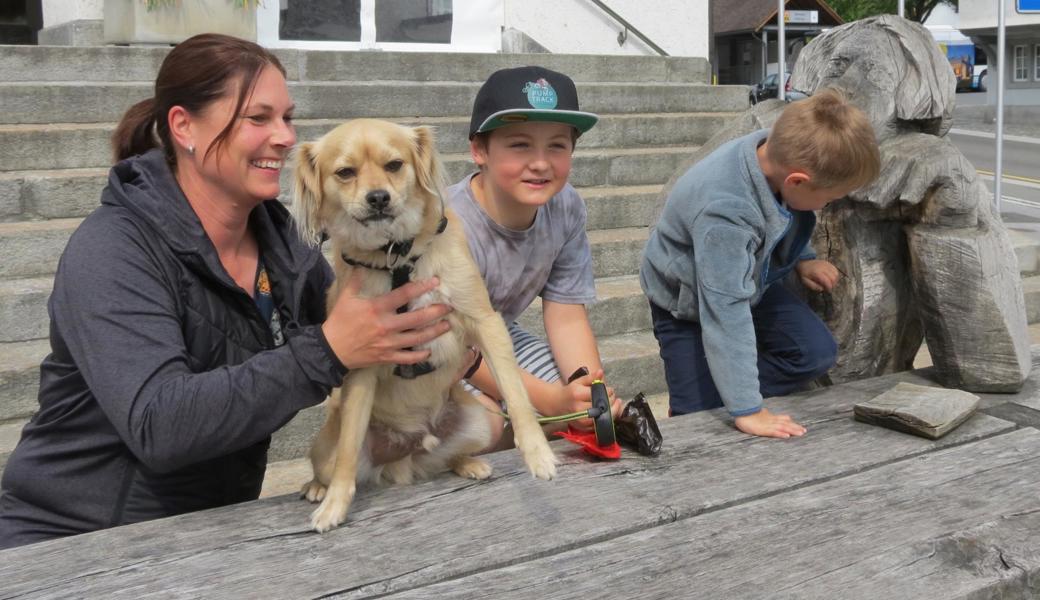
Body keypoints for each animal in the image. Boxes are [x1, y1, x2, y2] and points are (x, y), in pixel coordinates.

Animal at [293, 119, 557, 530]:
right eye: (345, 172)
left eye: (394, 165)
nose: (378, 198)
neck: (397, 257)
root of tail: (410, 449)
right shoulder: (363, 357)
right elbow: (349, 450)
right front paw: (335, 503)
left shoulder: (485, 322)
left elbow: (515, 393)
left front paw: (538, 451)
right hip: (323, 448)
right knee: (334, 460)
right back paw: (317, 487)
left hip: (479, 420)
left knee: (446, 459)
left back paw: (469, 463)